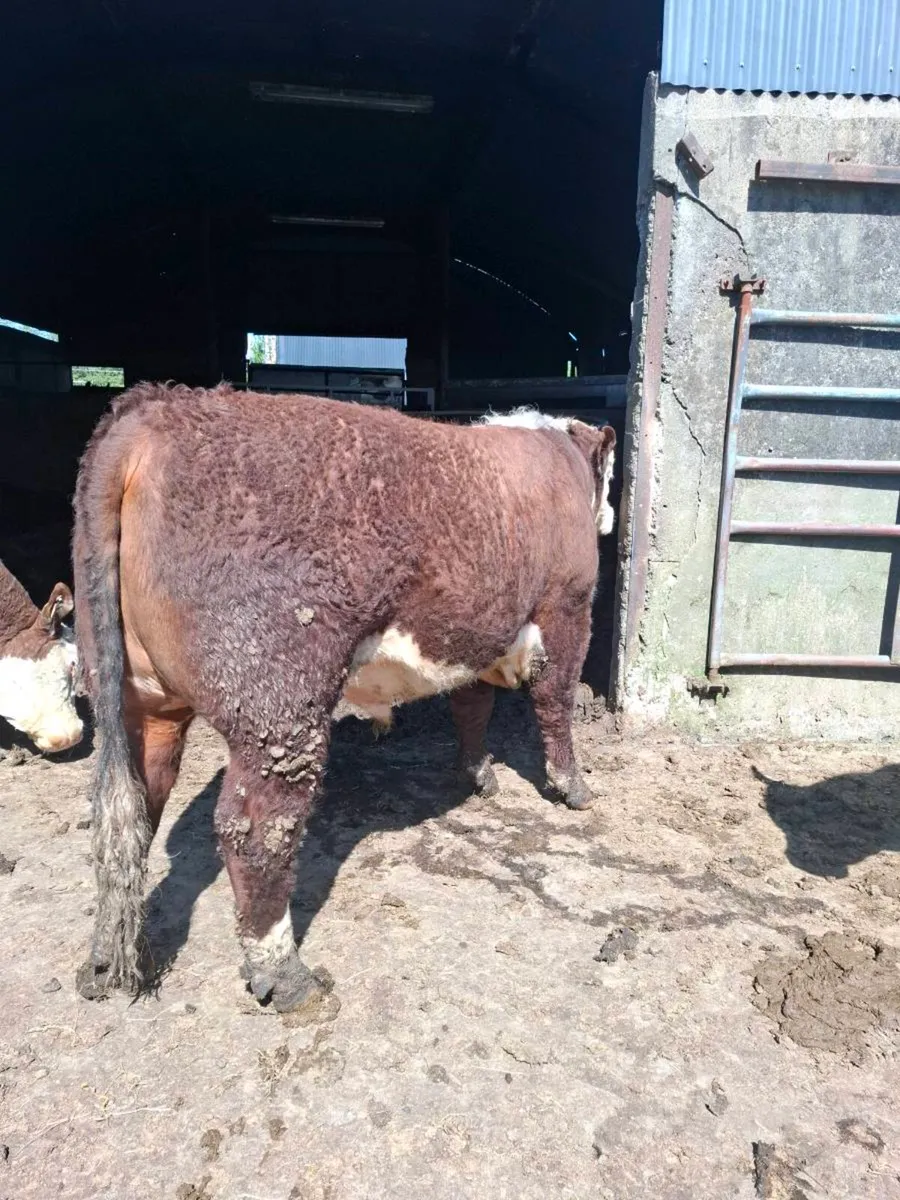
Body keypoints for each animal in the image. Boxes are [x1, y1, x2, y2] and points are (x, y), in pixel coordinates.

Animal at [72, 383, 616, 1011]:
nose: (608, 517)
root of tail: (153, 409)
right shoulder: (568, 607)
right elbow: (556, 702)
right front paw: (573, 786)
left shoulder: (480, 628)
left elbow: (472, 705)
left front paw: (478, 773)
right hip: (279, 711)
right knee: (254, 828)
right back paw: (285, 974)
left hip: (139, 702)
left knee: (130, 810)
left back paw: (104, 959)